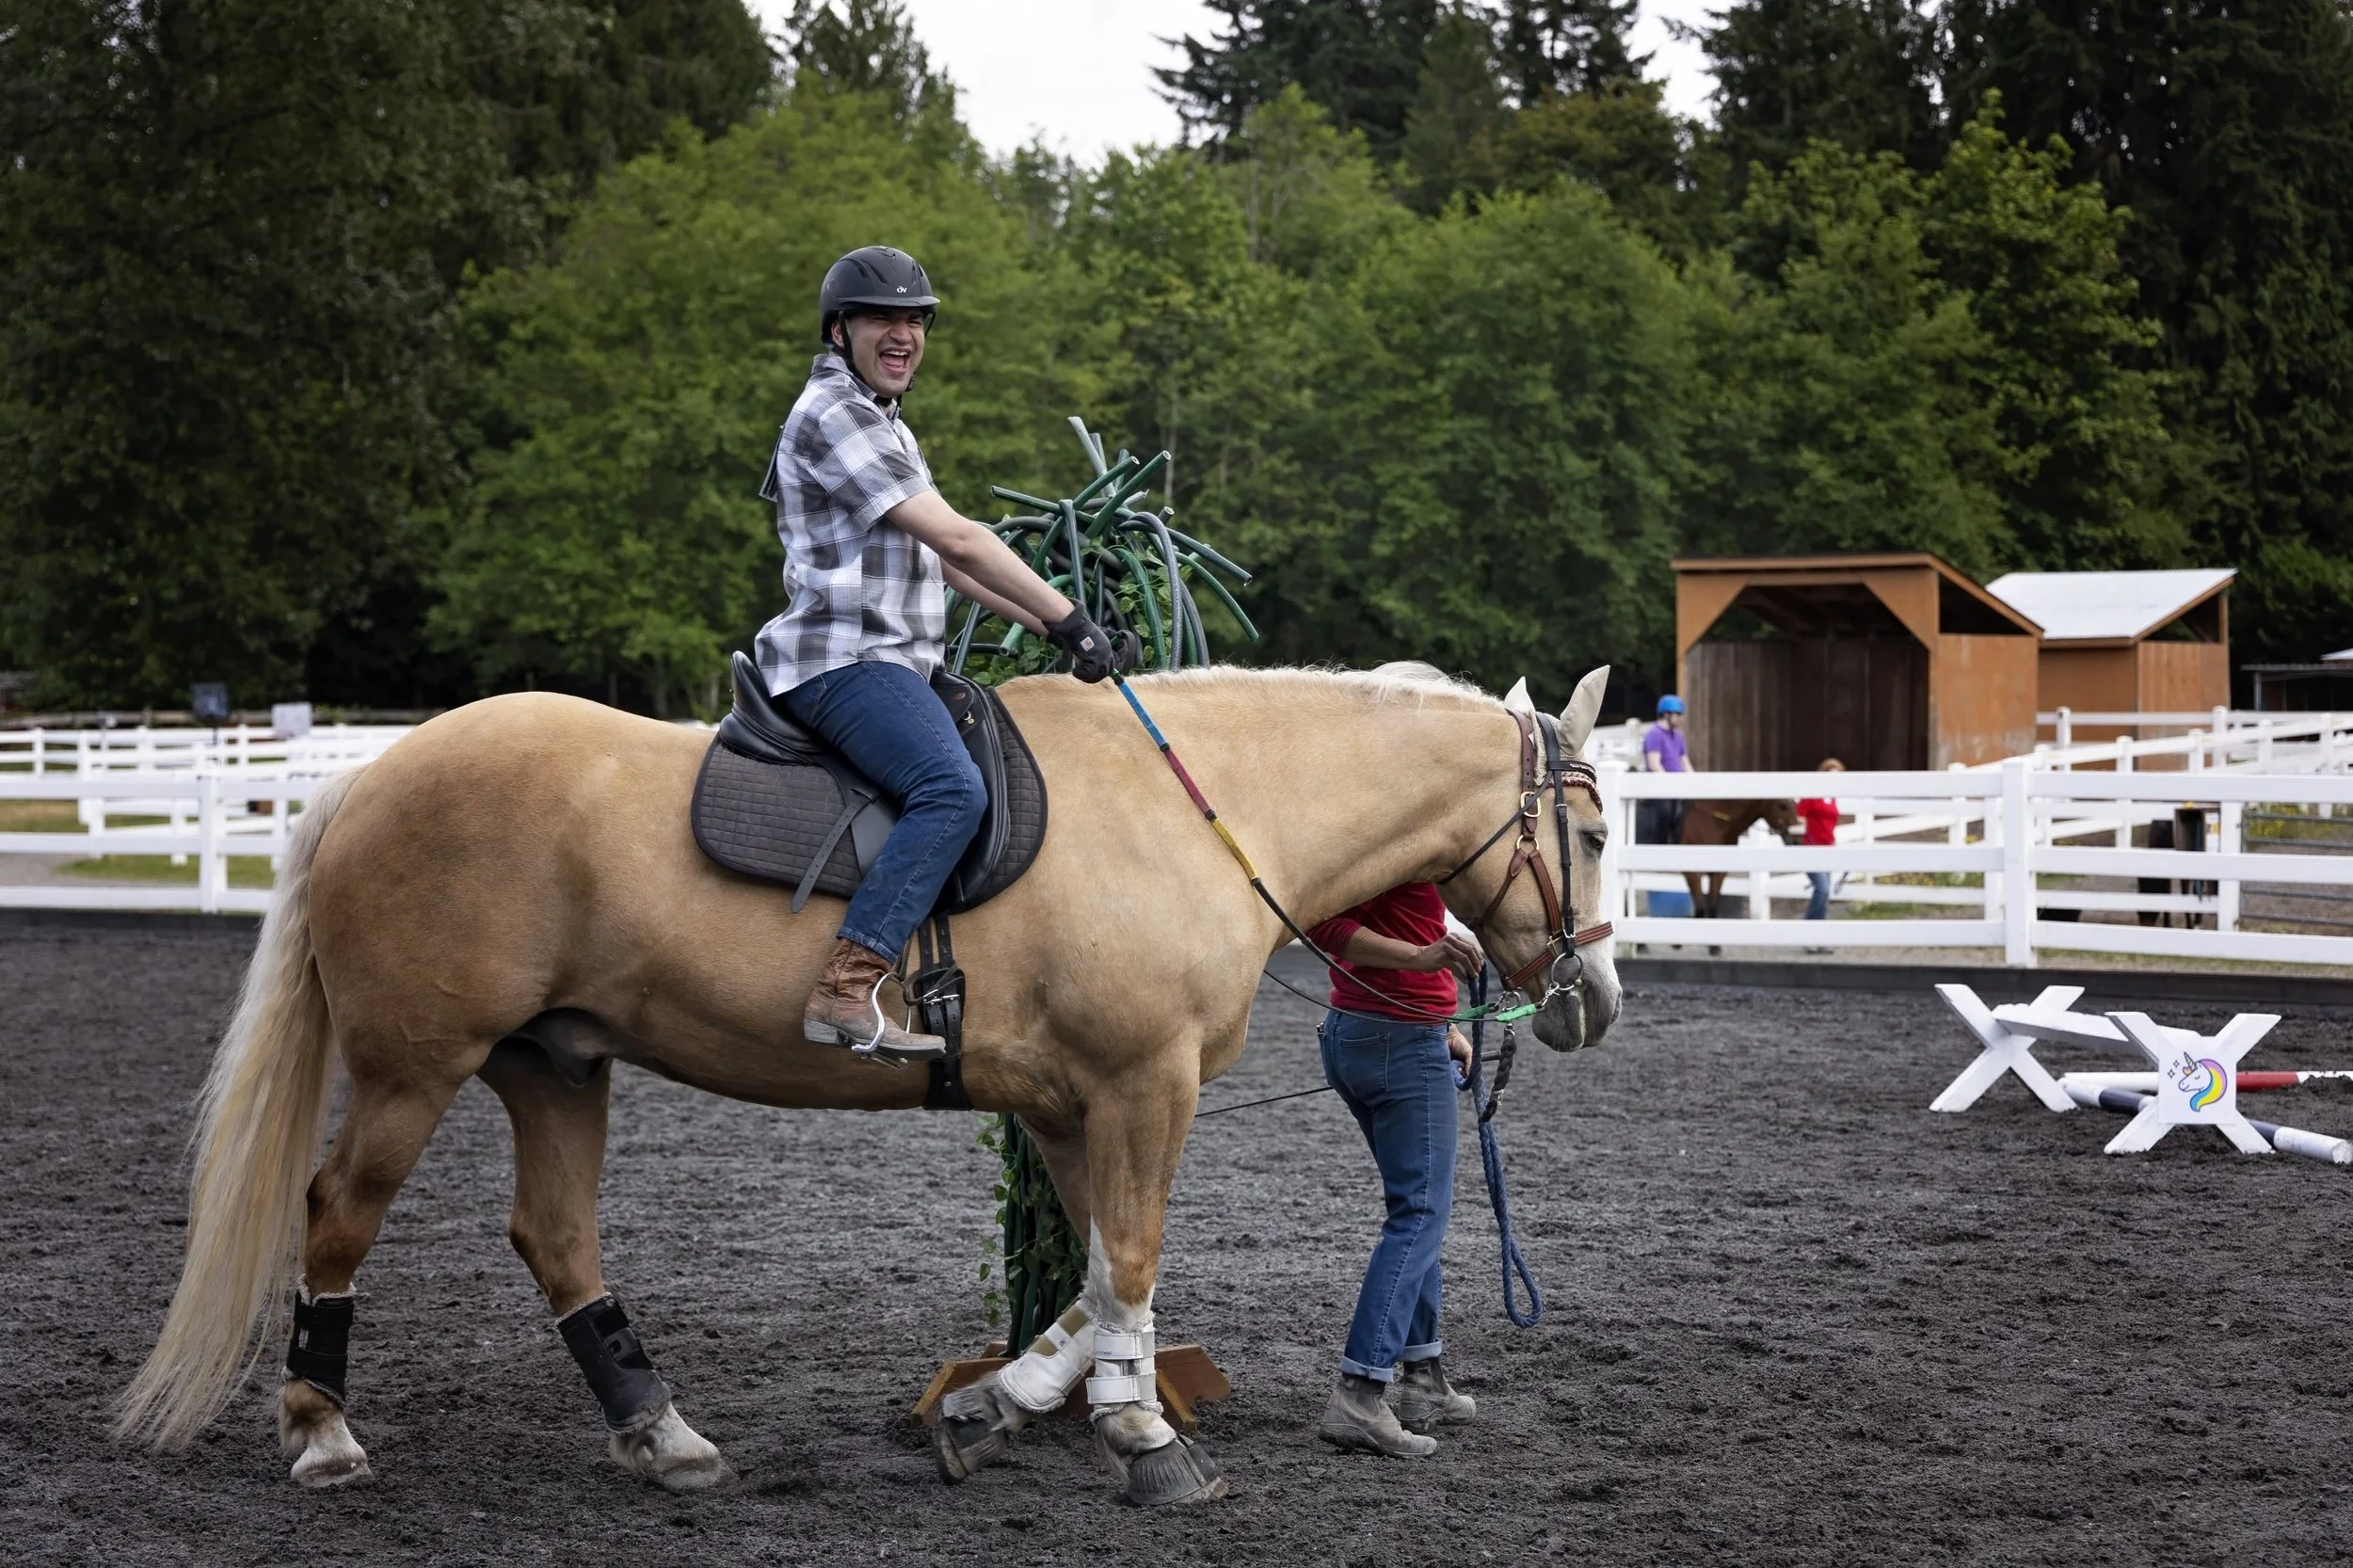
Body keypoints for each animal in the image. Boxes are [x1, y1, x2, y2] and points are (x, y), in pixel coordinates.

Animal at [115, 662, 1622, 1507]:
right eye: (1598, 830)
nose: (1592, 999)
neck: (1193, 809)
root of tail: (372, 774)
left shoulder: (1073, 1104)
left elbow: (1092, 1274)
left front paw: (1002, 1406)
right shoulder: (1142, 1088)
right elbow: (1130, 1261)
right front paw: (1138, 1431)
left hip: (556, 1068)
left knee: (556, 1239)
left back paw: (662, 1434)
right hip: (412, 1072)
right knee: (335, 1219)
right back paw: (321, 1433)